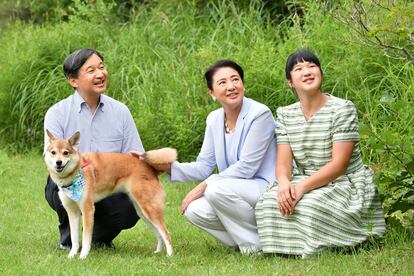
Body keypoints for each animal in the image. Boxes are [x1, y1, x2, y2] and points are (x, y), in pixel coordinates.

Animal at [44, 129, 176, 258]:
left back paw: (169, 255)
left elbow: (86, 238)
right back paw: (158, 252)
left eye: (65, 153)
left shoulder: (87, 210)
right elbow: (74, 239)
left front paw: (83, 256)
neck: (77, 171)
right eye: (53, 152)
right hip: (143, 212)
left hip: (150, 210)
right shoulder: (72, 213)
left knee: (166, 233)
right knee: (159, 234)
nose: (58, 162)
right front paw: (72, 255)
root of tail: (151, 169)